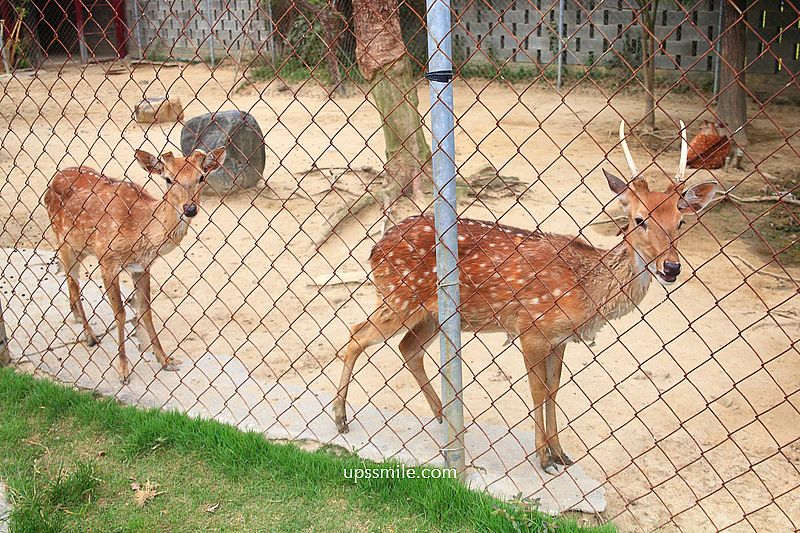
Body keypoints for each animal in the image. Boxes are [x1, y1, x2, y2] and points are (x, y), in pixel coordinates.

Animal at [44, 147, 226, 383]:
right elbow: (120, 313)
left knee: (69, 279)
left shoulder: (142, 267)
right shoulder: (106, 259)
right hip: (62, 238)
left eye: (201, 177)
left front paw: (166, 360)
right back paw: (90, 336)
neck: (138, 229)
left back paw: (76, 316)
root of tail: (52, 181)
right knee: (74, 282)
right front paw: (123, 370)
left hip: (80, 247)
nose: (189, 209)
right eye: (168, 179)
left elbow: (145, 310)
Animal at [333, 121, 717, 474]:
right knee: (355, 334)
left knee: (407, 348)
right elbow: (536, 391)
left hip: (432, 312)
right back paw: (341, 417)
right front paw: (543, 458)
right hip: (399, 296)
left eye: (681, 222)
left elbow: (554, 390)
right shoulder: (531, 328)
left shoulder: (559, 338)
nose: (671, 267)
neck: (584, 291)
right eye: (639, 220)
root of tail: (374, 248)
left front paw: (561, 454)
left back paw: (445, 419)